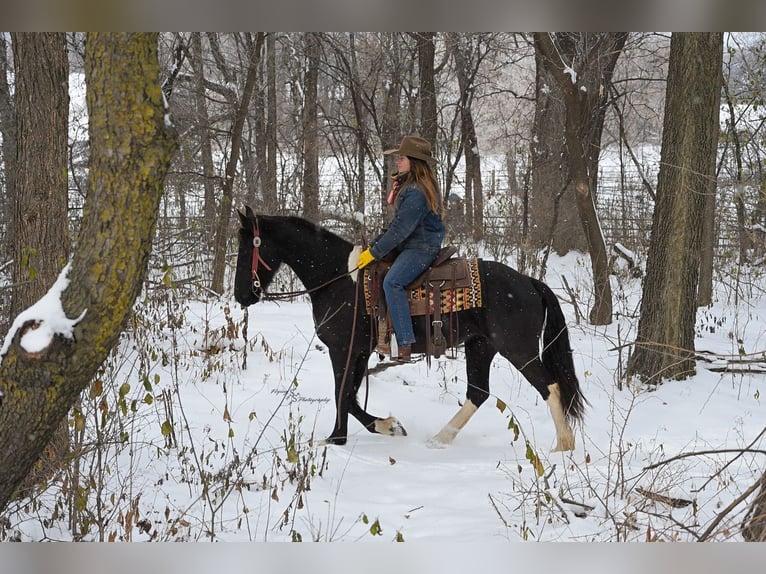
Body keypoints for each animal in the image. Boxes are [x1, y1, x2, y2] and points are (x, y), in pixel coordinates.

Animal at [234, 206, 586, 451]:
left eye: (247, 248)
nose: (241, 295)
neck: (338, 278)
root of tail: (529, 282)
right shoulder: (359, 352)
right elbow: (350, 396)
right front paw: (385, 427)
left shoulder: (343, 349)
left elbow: (342, 394)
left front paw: (339, 438)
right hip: (481, 346)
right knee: (478, 393)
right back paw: (439, 439)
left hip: (518, 349)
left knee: (550, 387)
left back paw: (563, 446)